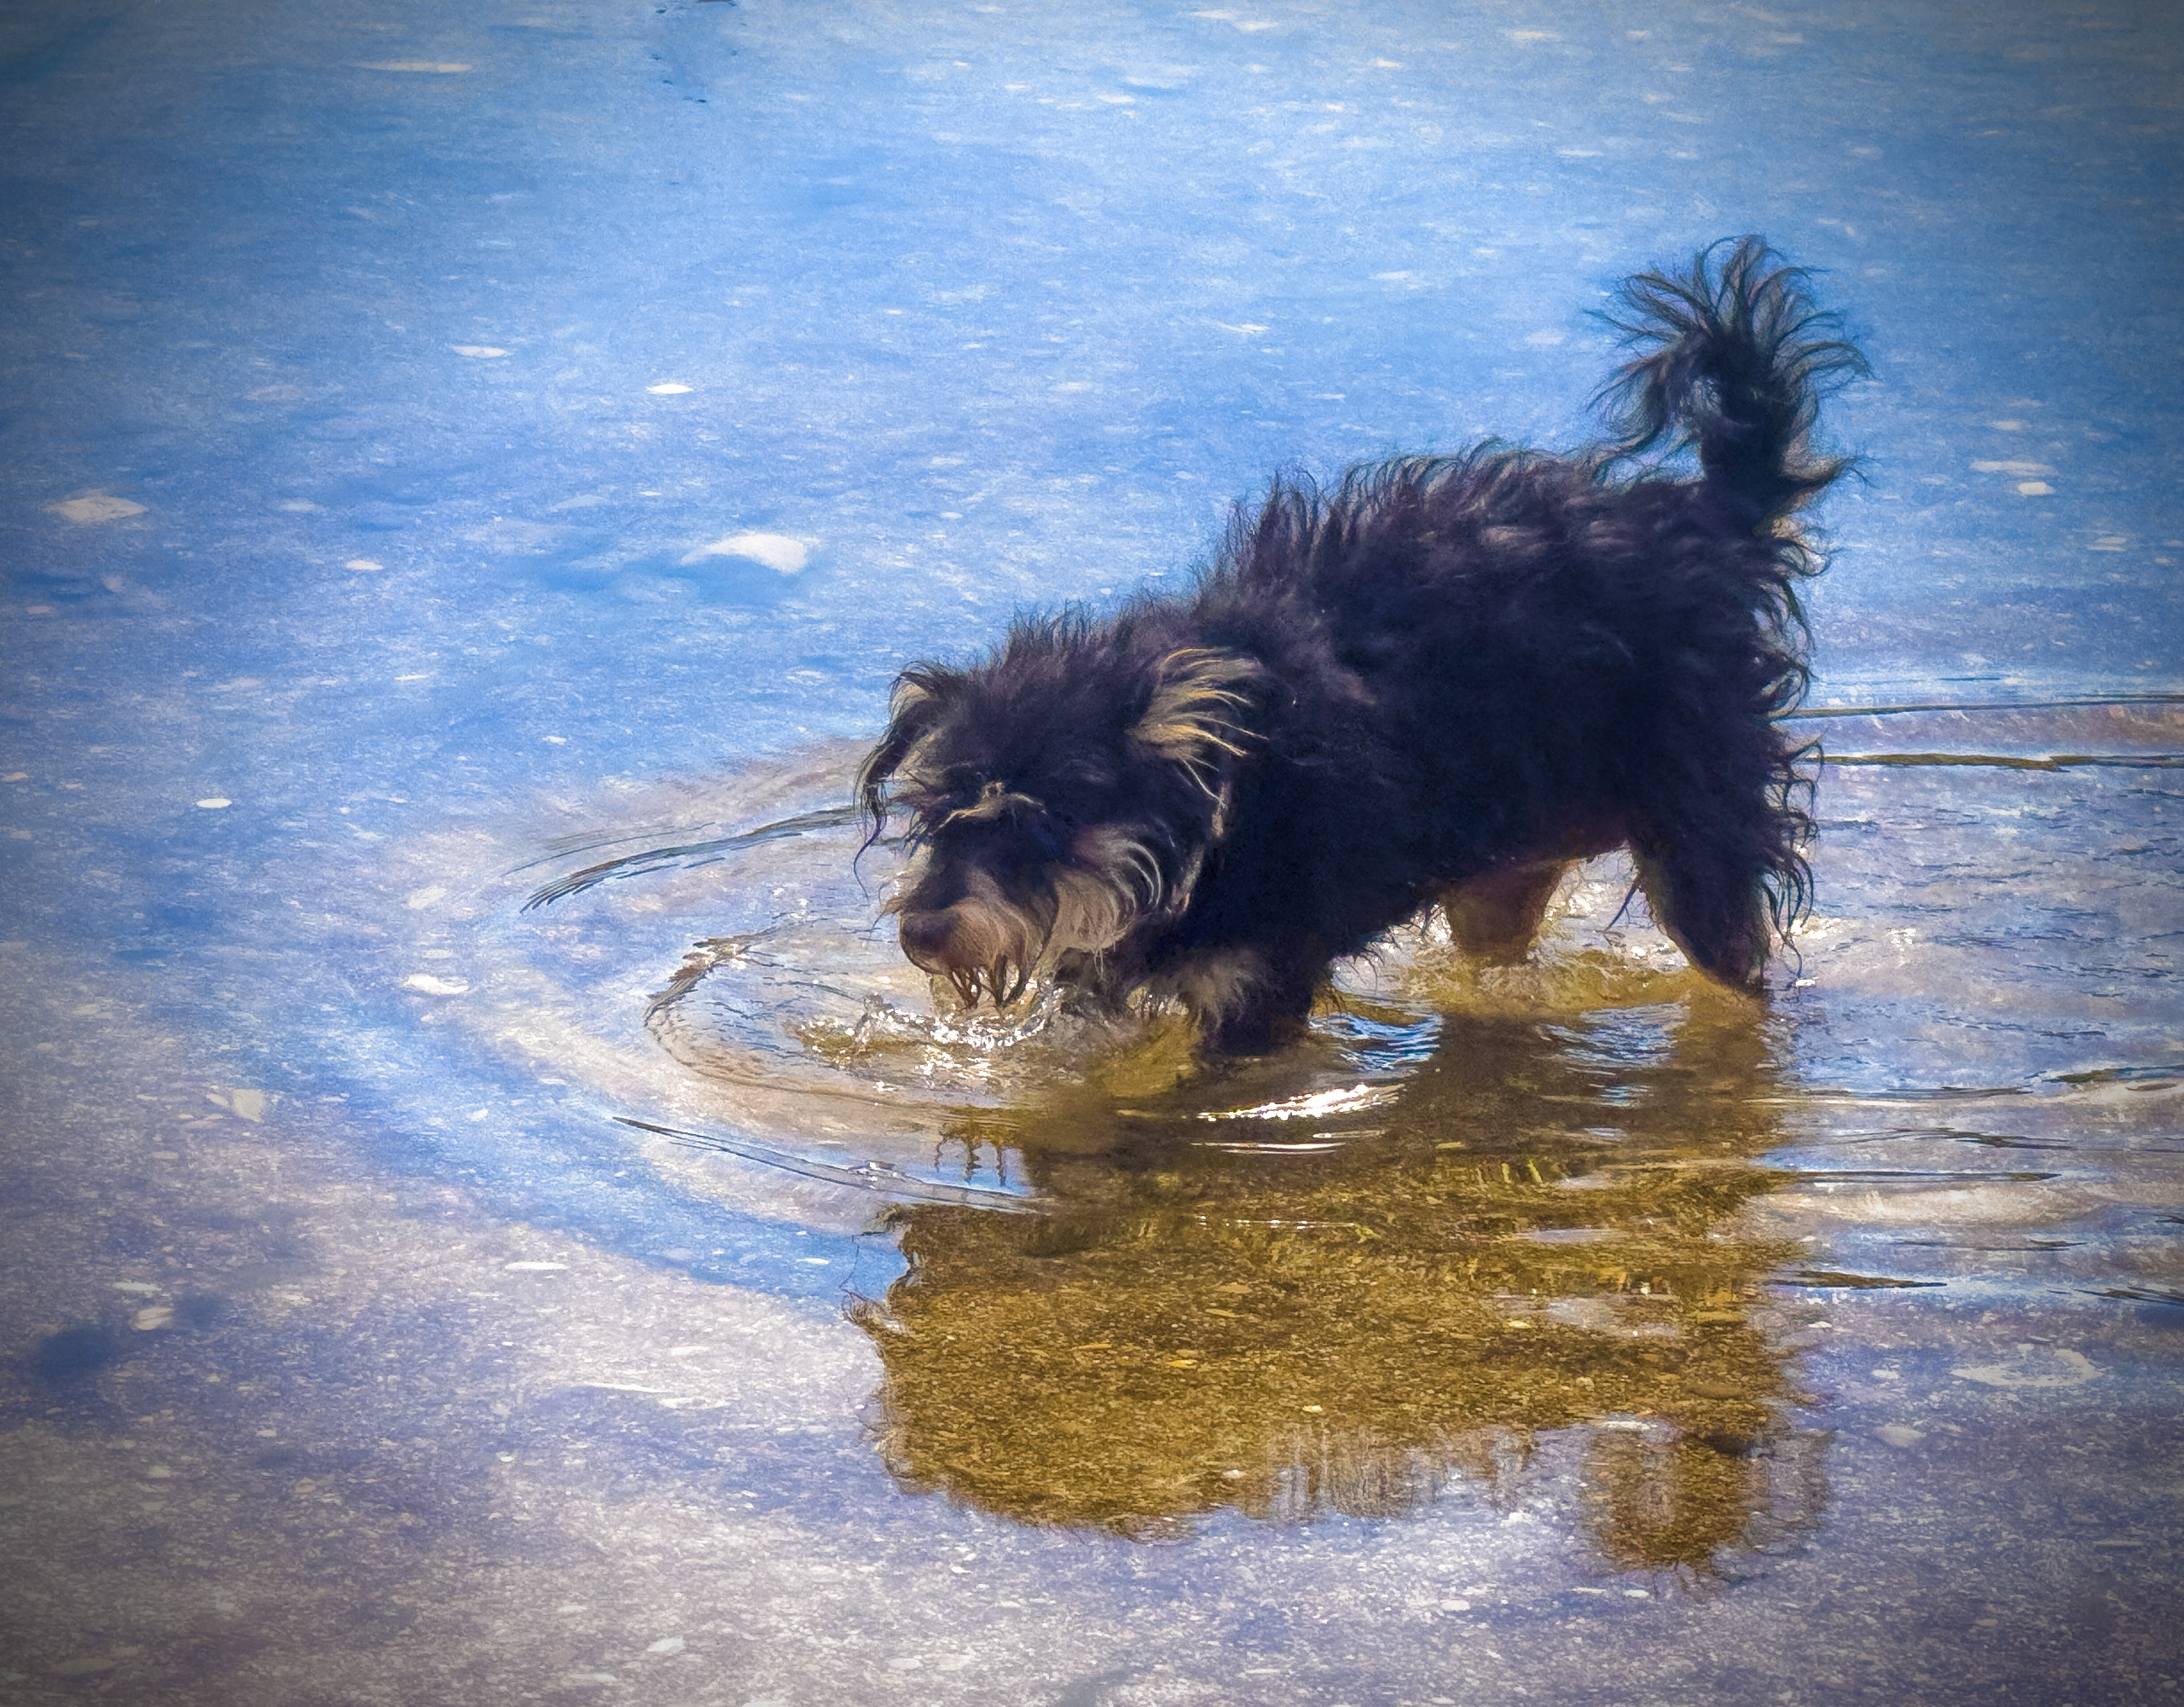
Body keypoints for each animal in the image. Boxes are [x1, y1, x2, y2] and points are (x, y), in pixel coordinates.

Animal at [857, 238, 1865, 1054]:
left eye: (1034, 824)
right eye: (934, 819)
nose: (919, 933)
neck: (1220, 796)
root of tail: (1709, 519)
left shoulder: (1255, 984)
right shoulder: (1101, 977)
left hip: (1697, 843)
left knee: (1734, 963)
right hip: (1498, 869)